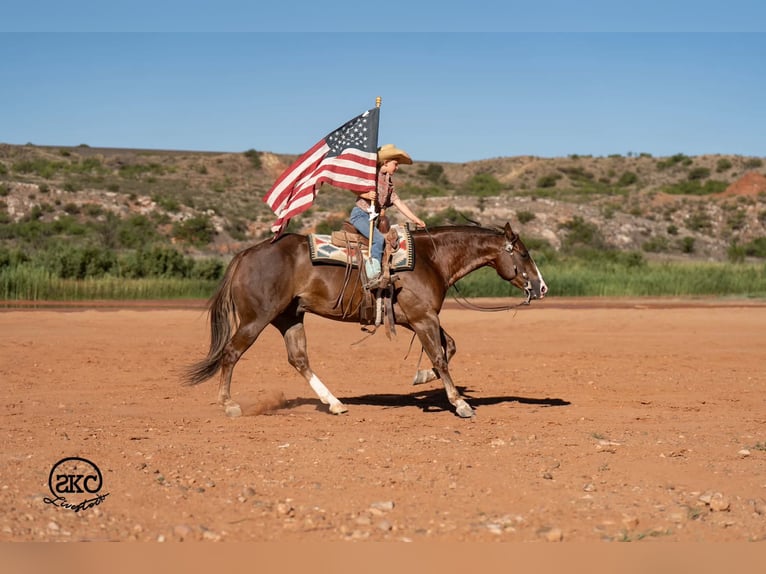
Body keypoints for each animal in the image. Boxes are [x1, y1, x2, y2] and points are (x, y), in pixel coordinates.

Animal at [182, 222, 547, 419]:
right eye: (523, 253)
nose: (542, 286)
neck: (431, 258)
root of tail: (246, 254)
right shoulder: (422, 318)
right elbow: (441, 356)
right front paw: (460, 403)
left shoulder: (420, 318)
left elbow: (449, 348)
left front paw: (422, 377)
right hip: (256, 318)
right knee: (231, 354)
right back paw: (229, 405)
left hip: (290, 317)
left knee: (298, 359)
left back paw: (334, 403)